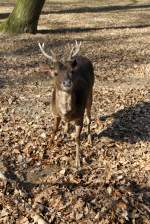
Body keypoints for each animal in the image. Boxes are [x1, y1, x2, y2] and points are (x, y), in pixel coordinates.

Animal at [39, 41, 95, 169]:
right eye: (55, 73)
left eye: (72, 72)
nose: (67, 83)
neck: (66, 112)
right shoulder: (55, 113)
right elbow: (54, 129)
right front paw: (49, 146)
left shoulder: (79, 116)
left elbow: (77, 138)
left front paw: (78, 162)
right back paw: (65, 129)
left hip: (90, 94)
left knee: (89, 118)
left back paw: (89, 140)